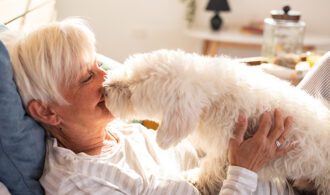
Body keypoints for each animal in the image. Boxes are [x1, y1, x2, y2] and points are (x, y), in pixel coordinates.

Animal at [103, 49, 330, 194]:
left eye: (132, 90)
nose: (105, 88)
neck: (213, 95)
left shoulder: (226, 149)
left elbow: (211, 168)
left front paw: (195, 180)